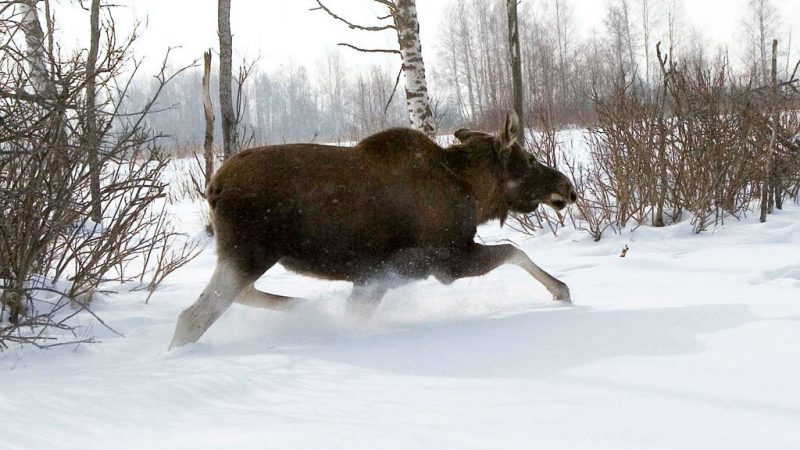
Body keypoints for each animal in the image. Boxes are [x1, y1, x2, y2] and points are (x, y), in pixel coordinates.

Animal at [172, 111, 580, 348]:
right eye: (529, 160)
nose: (568, 187)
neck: (475, 193)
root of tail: (214, 187)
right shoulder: (446, 259)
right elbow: (515, 249)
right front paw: (561, 290)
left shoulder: (375, 275)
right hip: (249, 252)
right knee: (194, 316)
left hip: (243, 255)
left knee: (240, 295)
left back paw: (311, 310)